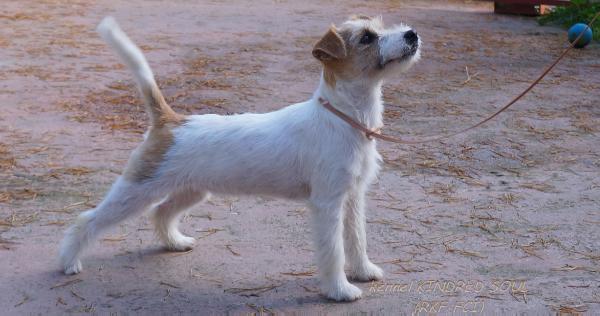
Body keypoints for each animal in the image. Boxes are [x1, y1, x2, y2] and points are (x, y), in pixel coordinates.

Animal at [58, 14, 420, 302]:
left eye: (381, 26)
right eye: (366, 38)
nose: (412, 34)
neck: (345, 117)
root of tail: (170, 121)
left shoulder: (353, 197)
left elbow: (357, 239)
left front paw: (364, 271)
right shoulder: (328, 204)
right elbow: (334, 250)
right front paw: (340, 290)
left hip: (191, 191)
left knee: (161, 213)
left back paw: (175, 242)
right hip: (135, 192)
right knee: (87, 220)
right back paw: (67, 262)